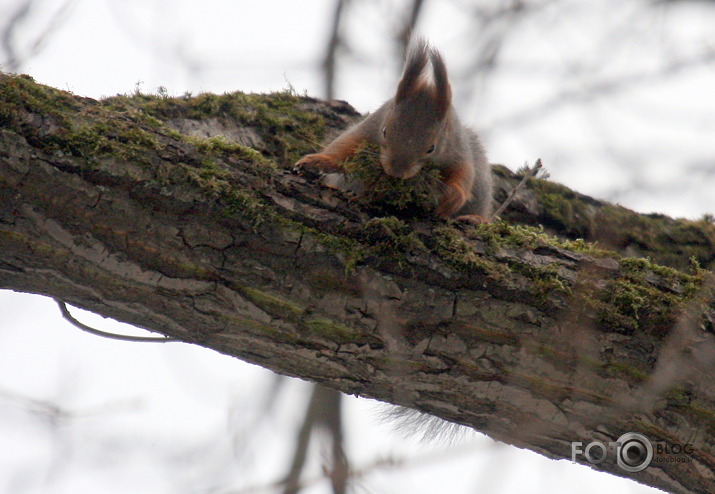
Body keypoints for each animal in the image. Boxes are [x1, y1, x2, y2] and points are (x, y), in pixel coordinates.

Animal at [296, 39, 492, 221]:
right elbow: (345, 146)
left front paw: (453, 197)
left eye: (431, 148)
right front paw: (318, 160)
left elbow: (464, 172)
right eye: (384, 131)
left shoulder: (457, 147)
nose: (396, 172)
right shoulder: (370, 127)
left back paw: (475, 219)